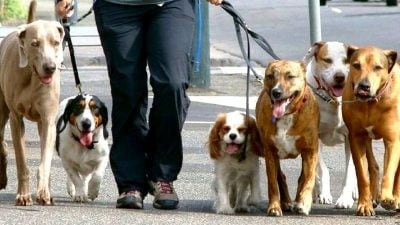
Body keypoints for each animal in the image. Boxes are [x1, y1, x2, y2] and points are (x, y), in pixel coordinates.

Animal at [0, 0, 64, 205]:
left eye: (56, 43)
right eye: (35, 44)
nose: (50, 67)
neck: (31, 75)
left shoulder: (48, 120)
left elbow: (45, 163)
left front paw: (43, 192)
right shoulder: (15, 118)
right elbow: (21, 163)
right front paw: (23, 195)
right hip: (2, 112)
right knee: (2, 144)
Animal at [256, 59, 318, 216]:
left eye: (290, 76)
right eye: (271, 76)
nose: (276, 92)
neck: (287, 114)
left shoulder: (310, 150)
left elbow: (308, 178)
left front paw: (304, 202)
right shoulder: (270, 151)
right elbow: (272, 182)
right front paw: (274, 207)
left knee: (302, 177)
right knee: (280, 176)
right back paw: (285, 202)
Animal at [304, 41, 358, 208]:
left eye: (346, 61)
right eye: (327, 60)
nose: (340, 76)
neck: (334, 100)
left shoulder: (351, 136)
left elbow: (350, 171)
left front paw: (345, 198)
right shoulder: (314, 137)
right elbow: (322, 169)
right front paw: (324, 194)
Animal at [340, 46, 400, 216]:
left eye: (378, 67)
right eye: (356, 65)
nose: (364, 86)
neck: (371, 103)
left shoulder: (393, 140)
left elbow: (390, 171)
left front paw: (388, 198)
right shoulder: (356, 137)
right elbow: (362, 174)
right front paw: (364, 205)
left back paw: (396, 199)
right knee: (373, 166)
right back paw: (373, 197)